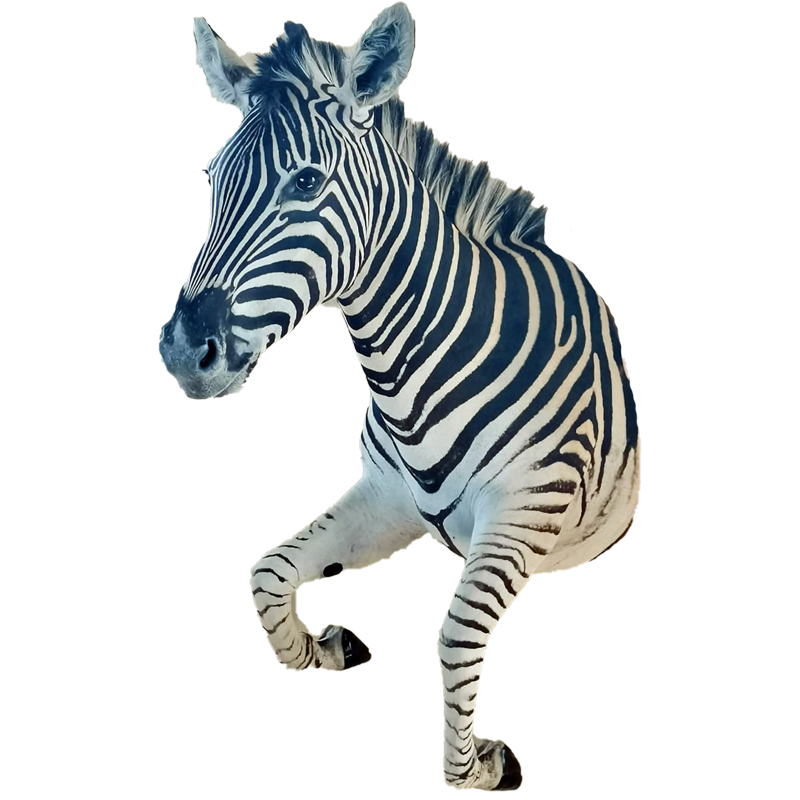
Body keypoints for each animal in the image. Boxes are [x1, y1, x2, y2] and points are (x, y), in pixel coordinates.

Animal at [159, 4, 641, 791]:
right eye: (208, 178)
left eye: (306, 181)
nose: (180, 351)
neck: (414, 372)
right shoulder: (390, 498)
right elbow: (268, 574)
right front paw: (323, 649)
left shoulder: (529, 512)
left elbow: (458, 635)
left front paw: (481, 769)